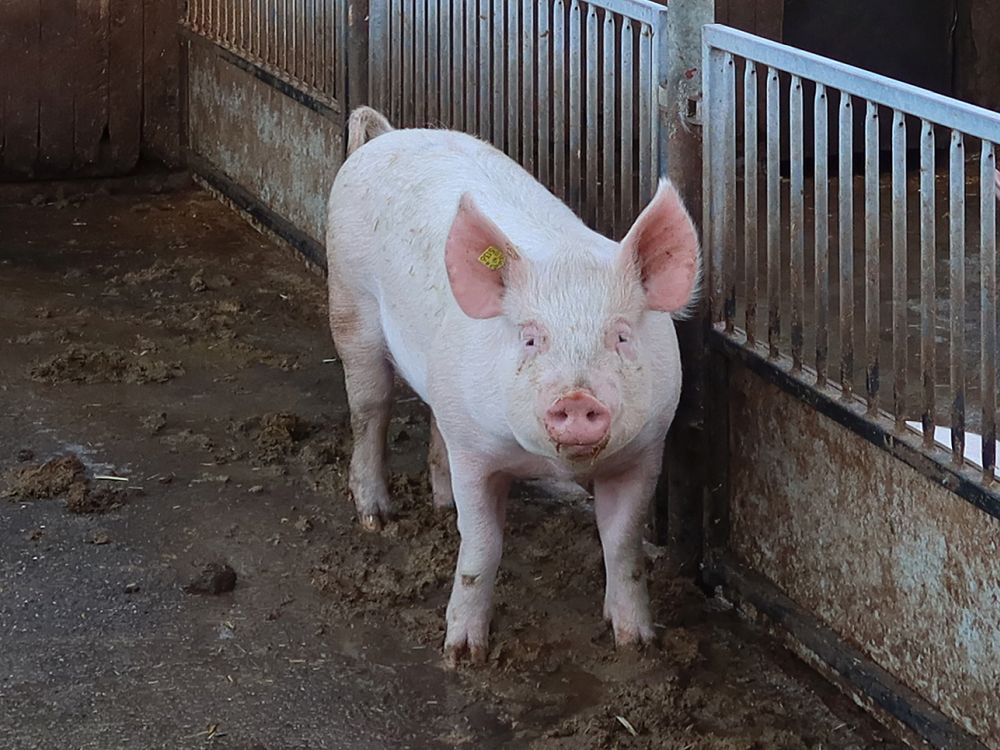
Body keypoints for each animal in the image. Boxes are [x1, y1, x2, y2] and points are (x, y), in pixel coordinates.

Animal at [326, 106, 700, 664]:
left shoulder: (644, 451)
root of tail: (387, 137)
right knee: (370, 409)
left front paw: (636, 642)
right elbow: (482, 545)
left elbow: (622, 544)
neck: (550, 462)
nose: (577, 398)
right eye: (529, 338)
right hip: (349, 301)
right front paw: (462, 654)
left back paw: (442, 503)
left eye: (621, 336)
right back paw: (377, 517)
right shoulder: (476, 451)